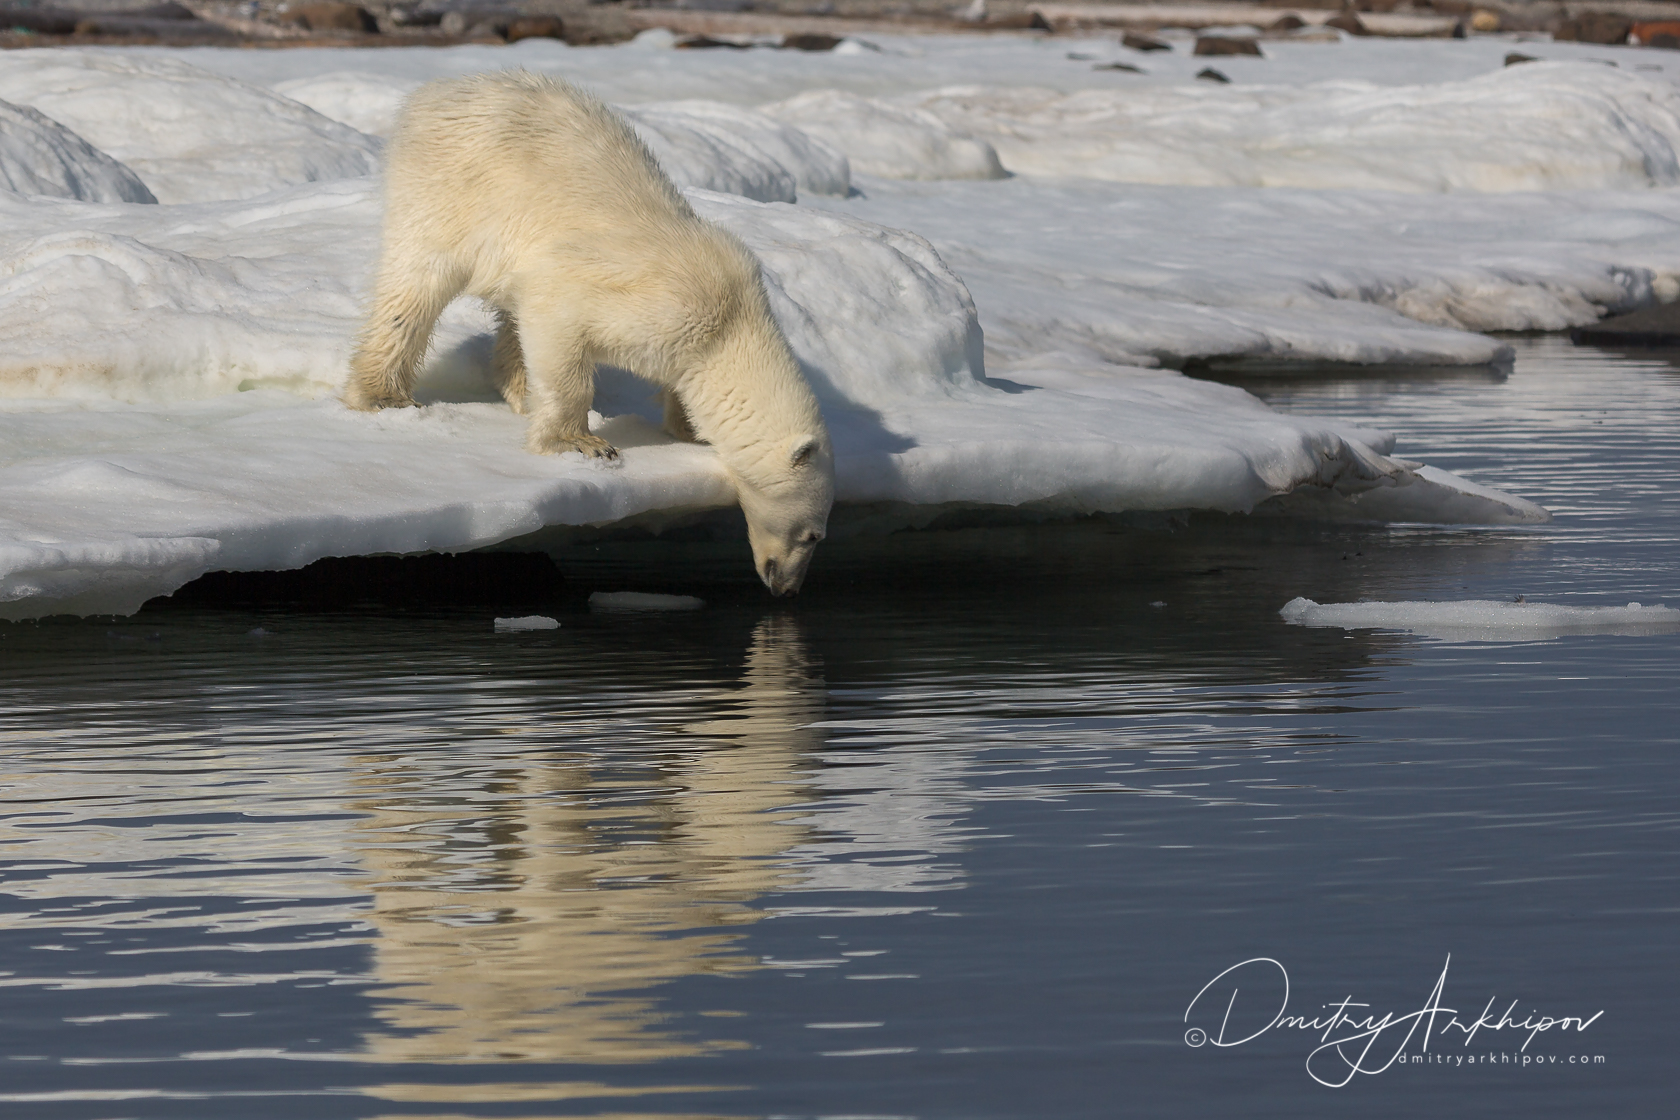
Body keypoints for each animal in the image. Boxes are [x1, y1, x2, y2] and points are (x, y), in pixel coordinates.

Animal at [346, 70, 833, 594]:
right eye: (813, 535)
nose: (787, 588)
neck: (733, 323)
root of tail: (437, 92)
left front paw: (689, 431)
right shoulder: (645, 300)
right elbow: (558, 318)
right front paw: (582, 443)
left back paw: (517, 390)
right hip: (450, 191)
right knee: (416, 286)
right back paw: (384, 394)